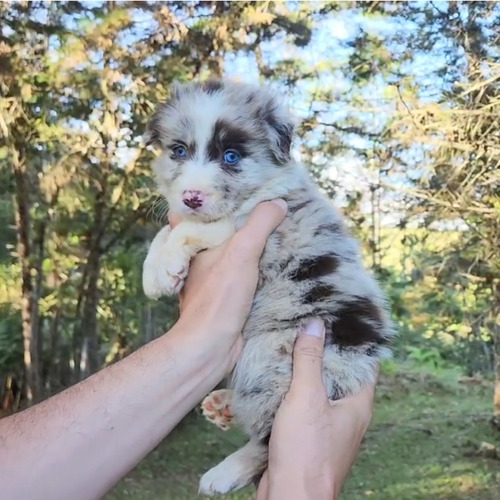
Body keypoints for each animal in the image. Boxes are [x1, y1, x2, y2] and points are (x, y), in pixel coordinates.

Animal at [141, 79, 394, 496]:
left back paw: (224, 472)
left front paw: (166, 266)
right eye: (178, 151)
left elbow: (193, 228)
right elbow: (168, 228)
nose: (191, 197)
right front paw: (154, 270)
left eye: (231, 156)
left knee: (267, 439)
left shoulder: (256, 227)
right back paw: (224, 404)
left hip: (275, 357)